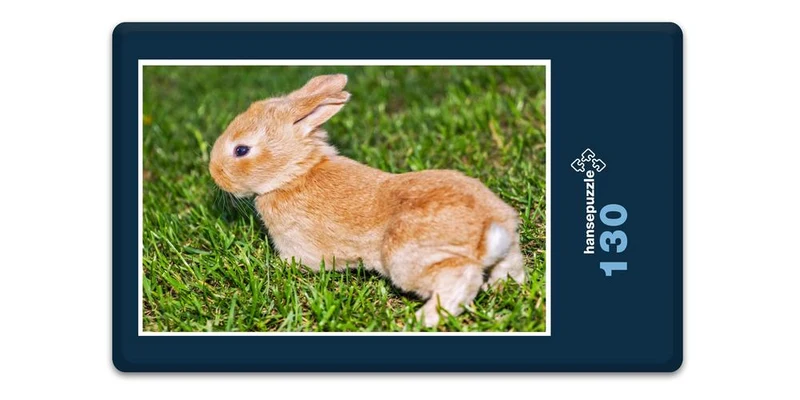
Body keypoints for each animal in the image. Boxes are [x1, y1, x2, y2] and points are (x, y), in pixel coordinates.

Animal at [208, 74, 527, 327]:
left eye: (241, 150)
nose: (214, 172)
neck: (295, 174)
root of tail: (489, 229)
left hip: (406, 259)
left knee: (460, 281)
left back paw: (420, 319)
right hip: (505, 249)